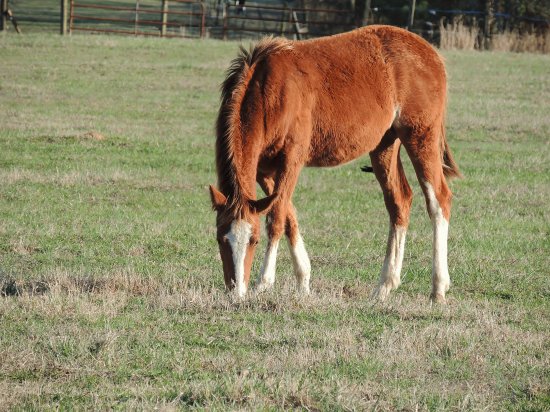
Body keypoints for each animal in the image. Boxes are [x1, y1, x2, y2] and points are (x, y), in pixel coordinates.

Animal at [210, 25, 462, 302]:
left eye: (254, 240)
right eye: (220, 239)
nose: (236, 292)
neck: (270, 90)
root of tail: (431, 54)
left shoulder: (292, 159)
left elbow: (276, 219)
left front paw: (263, 283)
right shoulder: (264, 170)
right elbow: (288, 216)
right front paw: (303, 280)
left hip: (421, 136)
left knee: (439, 201)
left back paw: (438, 288)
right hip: (385, 144)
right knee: (400, 202)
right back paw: (384, 286)